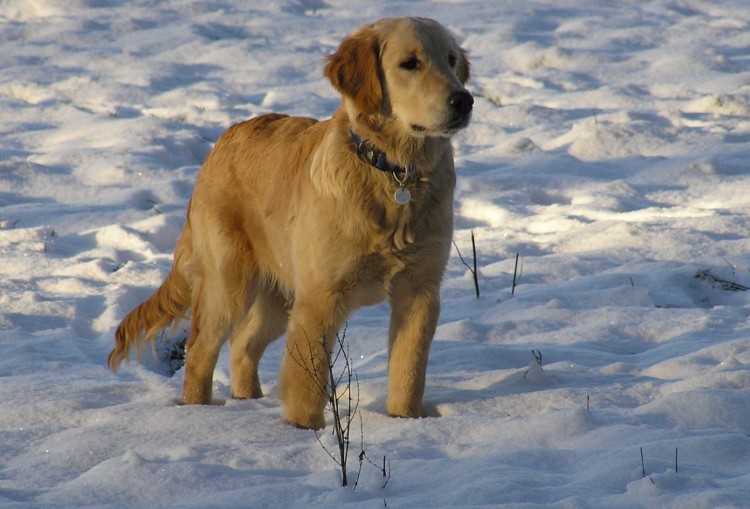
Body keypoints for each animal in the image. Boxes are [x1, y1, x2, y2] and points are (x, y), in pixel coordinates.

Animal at [108, 16, 472, 428]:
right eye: (410, 63)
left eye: (451, 60)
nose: (464, 100)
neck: (394, 173)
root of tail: (220, 143)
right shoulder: (319, 299)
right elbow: (306, 383)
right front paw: (303, 432)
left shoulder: (420, 291)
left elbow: (408, 373)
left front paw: (405, 423)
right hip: (229, 283)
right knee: (201, 350)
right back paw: (199, 415)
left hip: (278, 298)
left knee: (241, 344)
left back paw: (248, 399)